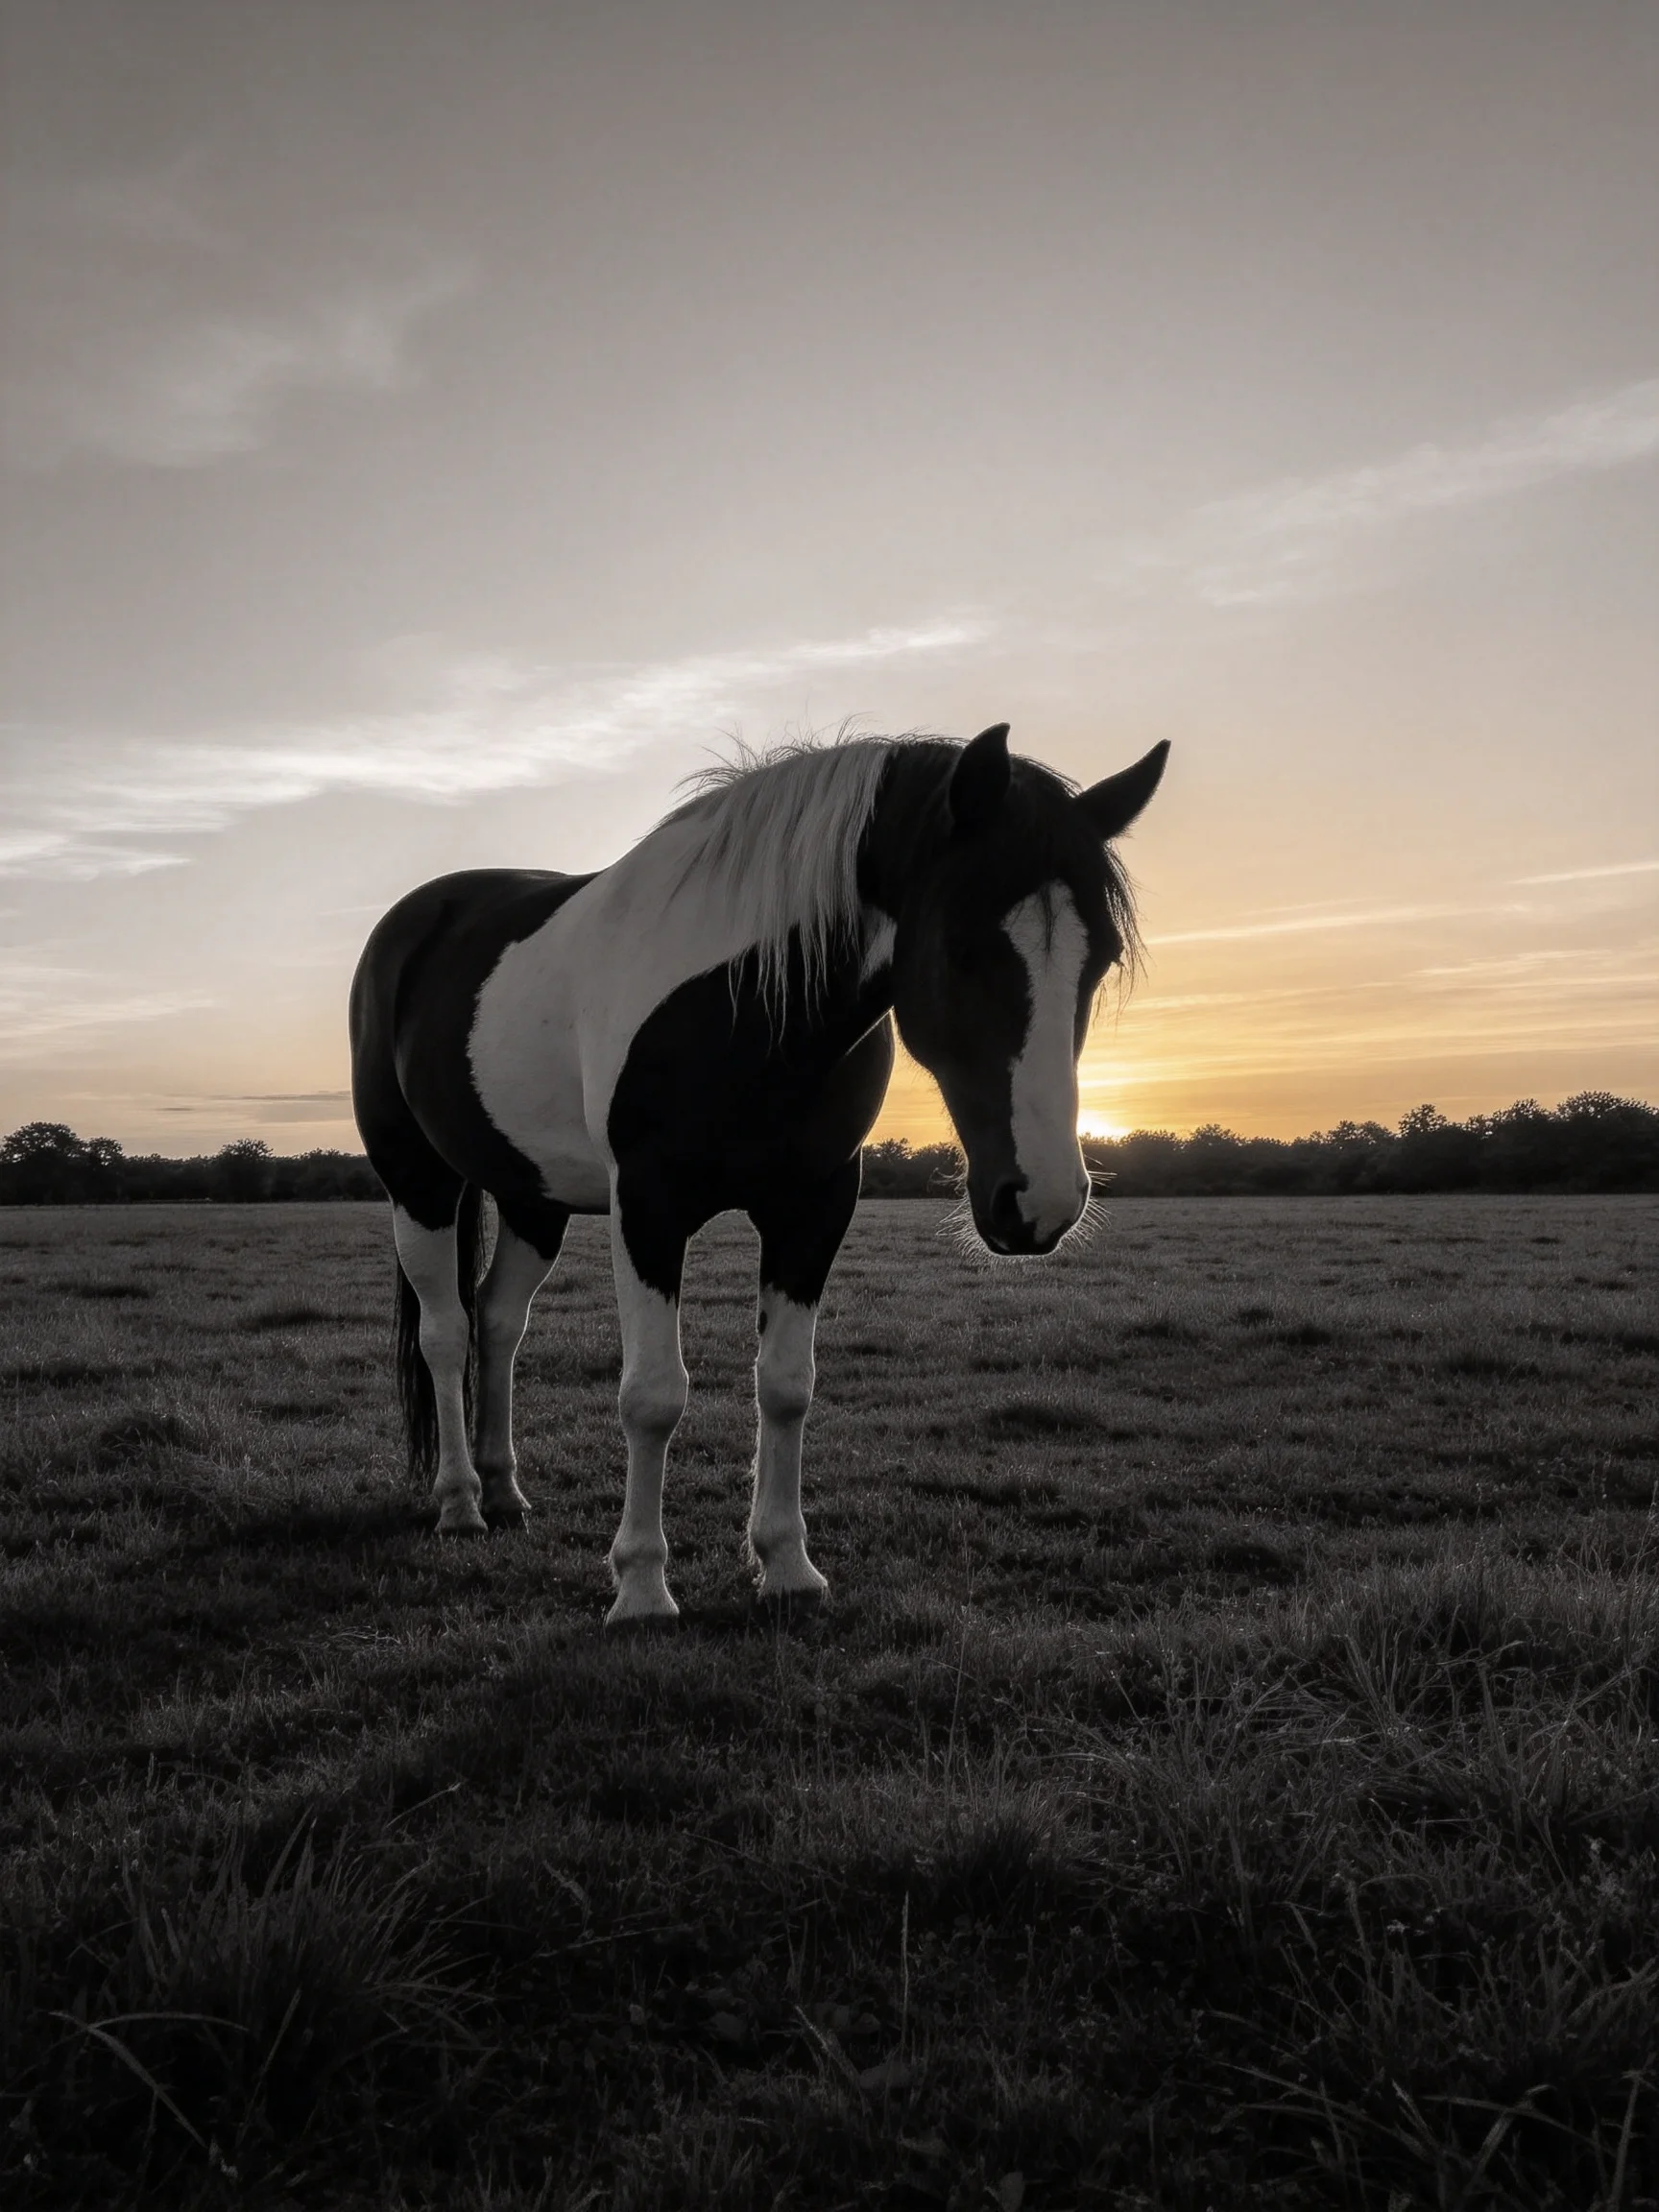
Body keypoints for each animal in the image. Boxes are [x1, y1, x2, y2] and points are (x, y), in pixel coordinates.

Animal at [349, 723, 1168, 1625]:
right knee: (447, 1332)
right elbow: (653, 1395)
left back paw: (503, 1493)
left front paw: (785, 1565)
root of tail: (418, 919)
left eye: (1104, 956)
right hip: (418, 1182)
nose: (1042, 1203)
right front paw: (641, 1585)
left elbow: (785, 1385)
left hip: (534, 1197)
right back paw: (460, 1502)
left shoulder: (813, 1206)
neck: (751, 1006)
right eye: (960, 950)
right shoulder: (648, 1206)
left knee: (498, 1322)